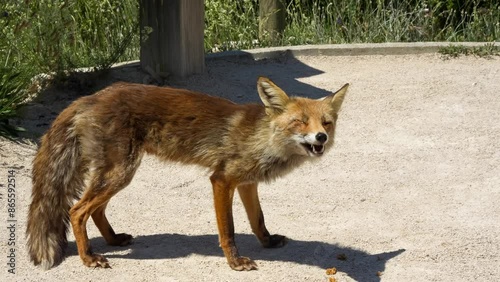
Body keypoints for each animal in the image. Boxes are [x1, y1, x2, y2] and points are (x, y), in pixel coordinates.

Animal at [26, 76, 348, 270]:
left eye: (326, 123)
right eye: (300, 122)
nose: (321, 138)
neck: (261, 138)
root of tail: (90, 97)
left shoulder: (247, 183)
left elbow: (258, 220)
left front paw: (267, 243)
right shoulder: (221, 180)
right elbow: (228, 230)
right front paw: (235, 262)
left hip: (118, 174)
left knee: (95, 210)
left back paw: (114, 239)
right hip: (120, 173)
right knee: (77, 211)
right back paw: (88, 257)